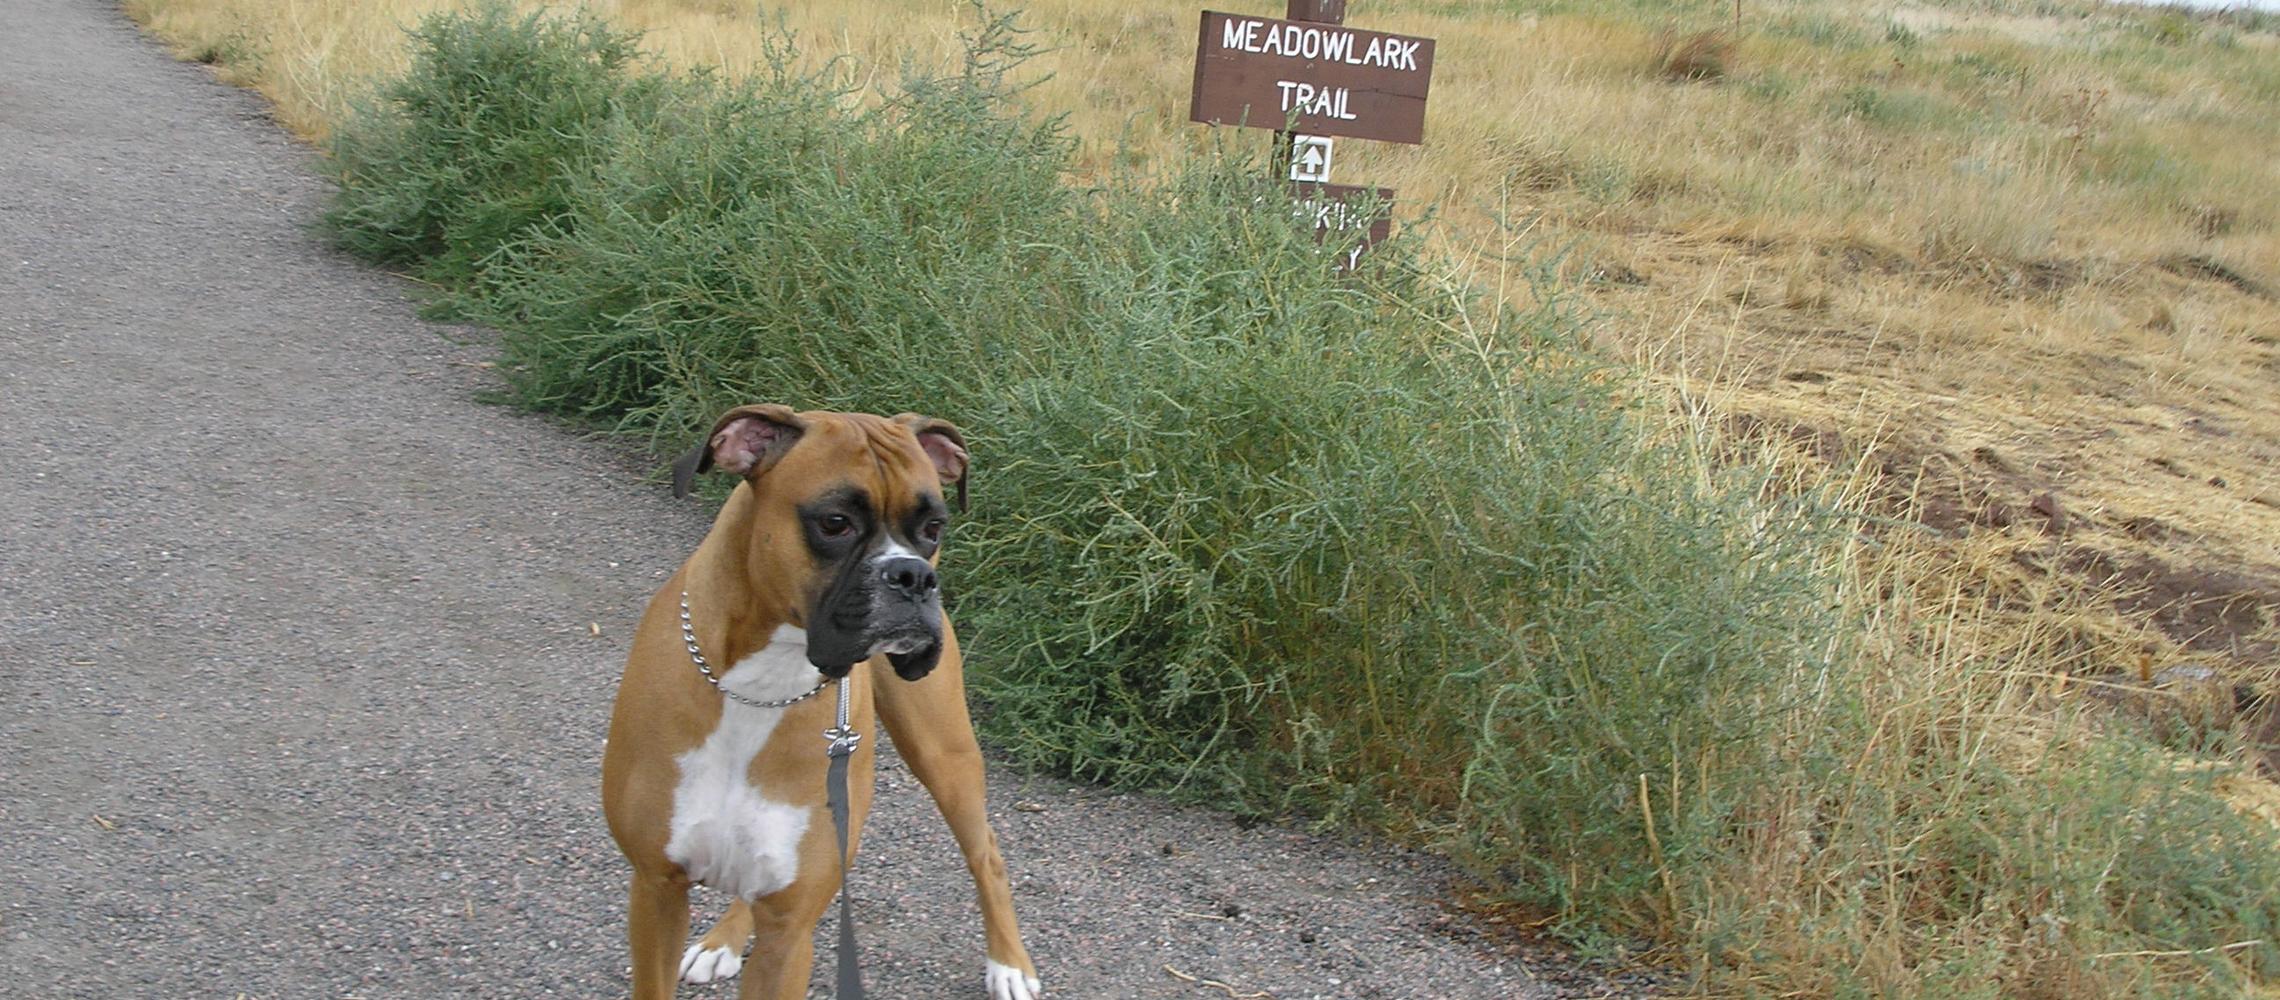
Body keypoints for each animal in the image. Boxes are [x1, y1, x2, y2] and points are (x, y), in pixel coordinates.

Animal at [602, 404, 1042, 999]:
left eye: (933, 528)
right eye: (835, 523)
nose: (913, 575)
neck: (760, 683)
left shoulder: (790, 935)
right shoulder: (656, 891)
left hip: (945, 754)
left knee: (986, 853)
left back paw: (1009, 965)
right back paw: (723, 942)